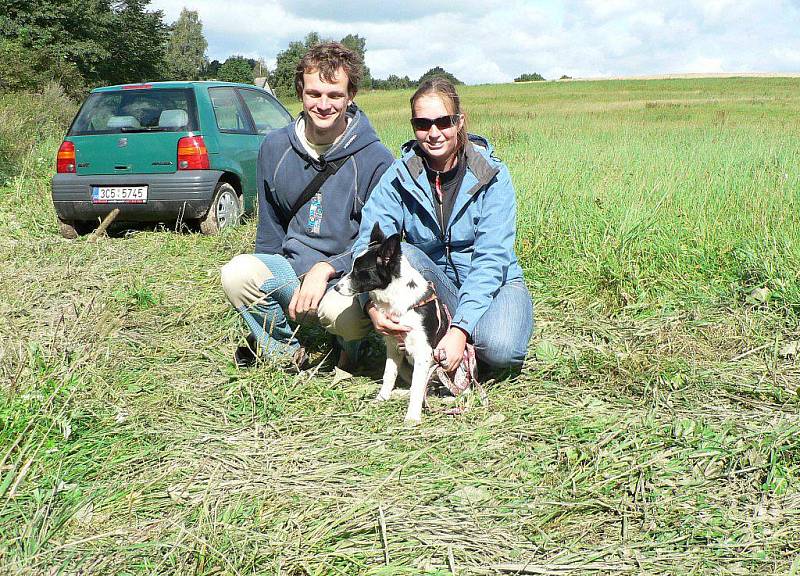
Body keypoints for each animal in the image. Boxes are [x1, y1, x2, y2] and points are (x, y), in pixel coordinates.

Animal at [334, 223, 450, 426]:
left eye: (359, 272)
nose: (335, 287)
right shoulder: (394, 348)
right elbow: (389, 374)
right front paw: (382, 398)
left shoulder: (424, 354)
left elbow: (418, 388)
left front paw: (412, 417)